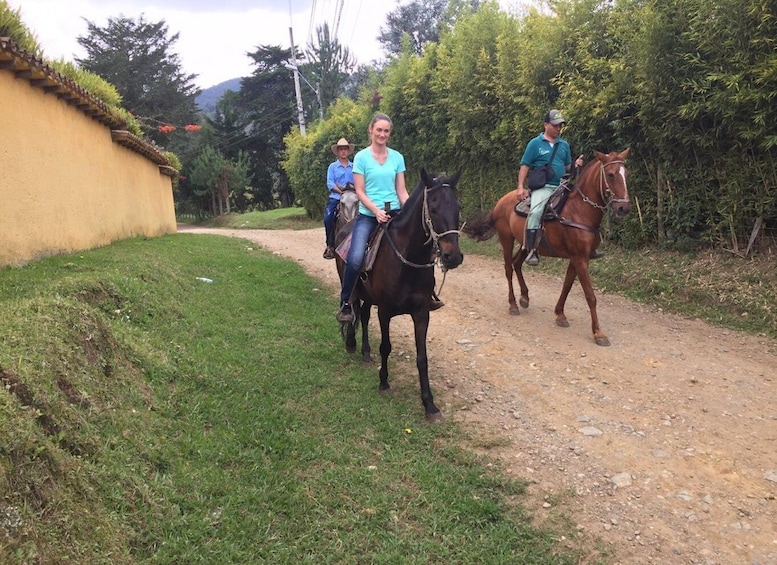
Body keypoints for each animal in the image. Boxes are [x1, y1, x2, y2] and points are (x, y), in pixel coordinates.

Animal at [332, 170, 460, 420]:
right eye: (433, 207)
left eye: (458, 207)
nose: (453, 257)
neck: (406, 260)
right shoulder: (385, 311)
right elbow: (386, 346)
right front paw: (384, 383)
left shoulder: (422, 313)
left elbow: (422, 358)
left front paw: (430, 405)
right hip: (350, 284)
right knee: (351, 308)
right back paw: (351, 342)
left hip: (368, 296)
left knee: (363, 315)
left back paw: (365, 353)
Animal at [464, 148, 628, 346]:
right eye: (610, 174)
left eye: (626, 174)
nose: (623, 208)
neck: (579, 211)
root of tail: (501, 202)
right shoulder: (580, 258)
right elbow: (590, 296)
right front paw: (598, 333)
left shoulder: (577, 258)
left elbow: (567, 286)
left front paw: (560, 314)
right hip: (506, 239)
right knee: (508, 268)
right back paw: (513, 304)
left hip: (526, 243)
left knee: (517, 263)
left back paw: (525, 297)